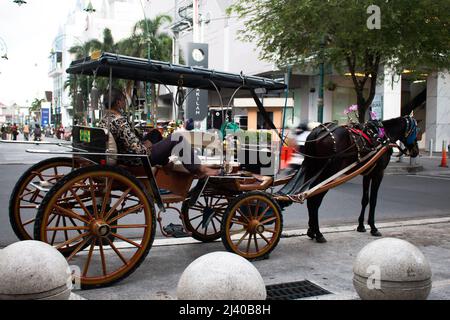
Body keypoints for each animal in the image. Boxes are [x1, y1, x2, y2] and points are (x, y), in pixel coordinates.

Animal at [284, 115, 418, 242]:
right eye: (416, 130)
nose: (415, 151)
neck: (384, 136)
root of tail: (317, 132)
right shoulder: (379, 173)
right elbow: (373, 200)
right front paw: (373, 227)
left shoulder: (367, 173)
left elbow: (365, 200)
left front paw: (361, 226)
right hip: (329, 172)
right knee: (314, 198)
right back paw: (318, 233)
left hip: (313, 169)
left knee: (310, 196)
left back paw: (312, 231)